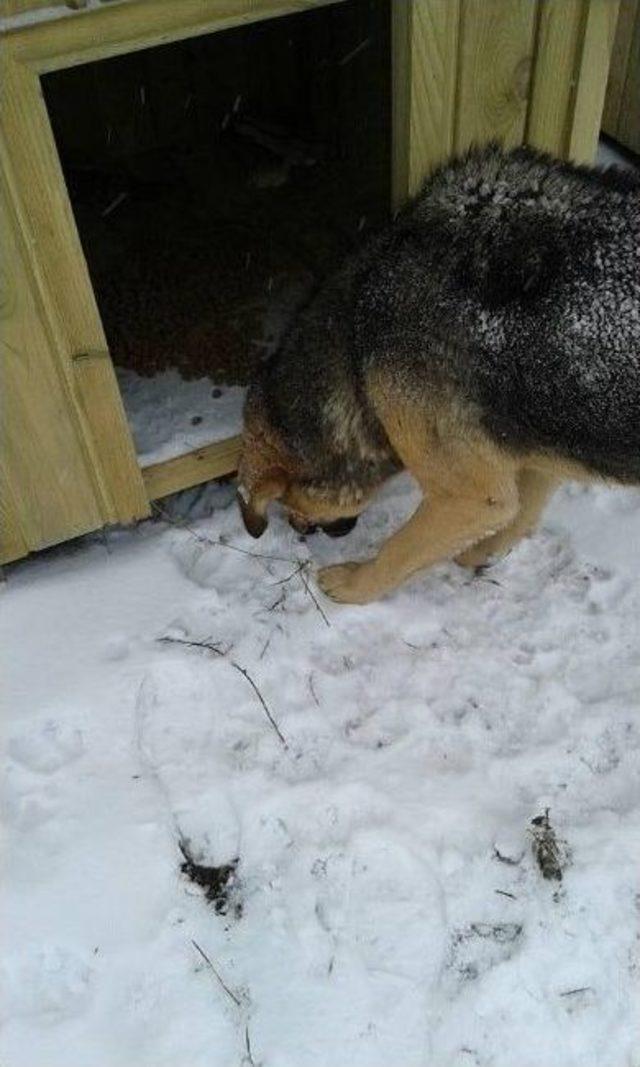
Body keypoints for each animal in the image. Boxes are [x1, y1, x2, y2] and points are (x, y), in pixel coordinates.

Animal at [237, 146, 640, 606]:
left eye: (288, 501)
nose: (299, 532)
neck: (356, 334)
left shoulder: (470, 495)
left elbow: (400, 548)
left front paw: (356, 585)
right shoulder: (544, 447)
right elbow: (522, 513)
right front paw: (480, 554)